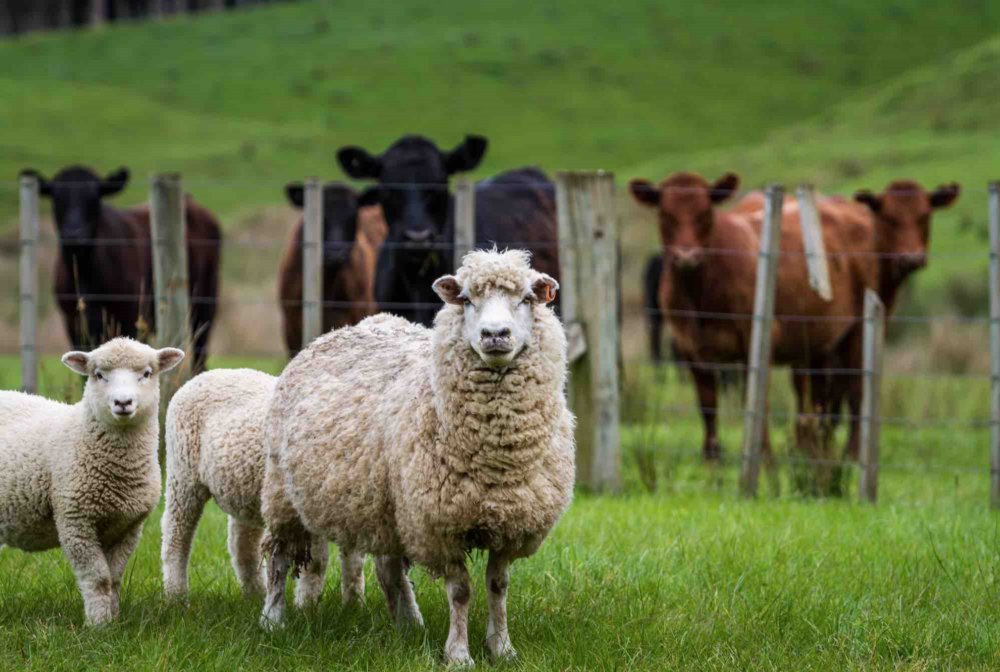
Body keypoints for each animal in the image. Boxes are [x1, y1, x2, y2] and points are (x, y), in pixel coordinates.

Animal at [0, 338, 183, 628]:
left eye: (146, 373)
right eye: (98, 375)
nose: (123, 402)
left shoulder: (129, 526)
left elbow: (115, 578)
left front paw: (114, 620)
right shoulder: (76, 521)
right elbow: (98, 578)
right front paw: (99, 625)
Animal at [18, 163, 223, 372]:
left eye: (94, 198)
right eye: (57, 198)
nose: (74, 234)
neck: (86, 276)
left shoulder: (130, 316)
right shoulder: (73, 323)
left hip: (204, 302)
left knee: (200, 354)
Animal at [159, 370, 356, 608]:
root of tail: (204, 375)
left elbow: (353, 562)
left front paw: (354, 605)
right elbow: (317, 562)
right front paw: (307, 607)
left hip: (244, 488)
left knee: (242, 545)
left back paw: (256, 595)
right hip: (183, 473)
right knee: (176, 534)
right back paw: (176, 597)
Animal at [262, 248, 576, 668]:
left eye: (527, 299)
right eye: (466, 300)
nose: (494, 335)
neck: (496, 458)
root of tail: (340, 330)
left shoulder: (509, 522)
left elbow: (498, 586)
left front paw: (502, 648)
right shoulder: (441, 524)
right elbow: (460, 591)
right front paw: (459, 654)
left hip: (388, 504)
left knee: (390, 567)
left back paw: (409, 623)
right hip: (283, 492)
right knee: (279, 557)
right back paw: (272, 619)